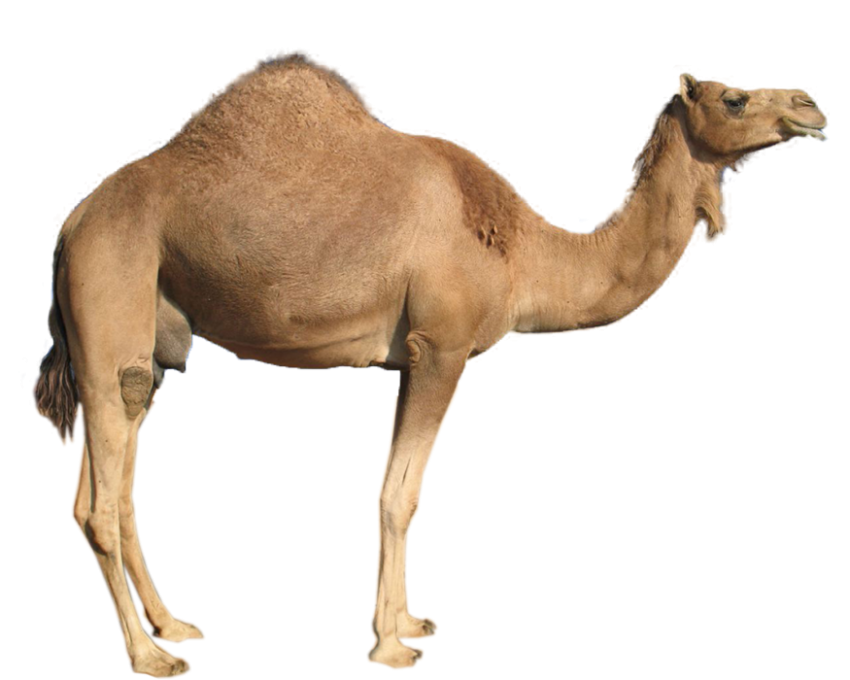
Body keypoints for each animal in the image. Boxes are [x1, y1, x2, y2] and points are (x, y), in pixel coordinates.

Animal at [31, 48, 829, 678]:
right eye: (734, 96)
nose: (812, 105)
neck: (526, 249)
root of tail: (71, 225)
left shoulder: (412, 357)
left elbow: (399, 488)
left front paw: (409, 622)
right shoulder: (440, 348)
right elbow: (401, 494)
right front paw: (392, 646)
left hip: (147, 340)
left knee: (109, 482)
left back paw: (175, 624)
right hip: (113, 295)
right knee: (102, 499)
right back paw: (151, 657)